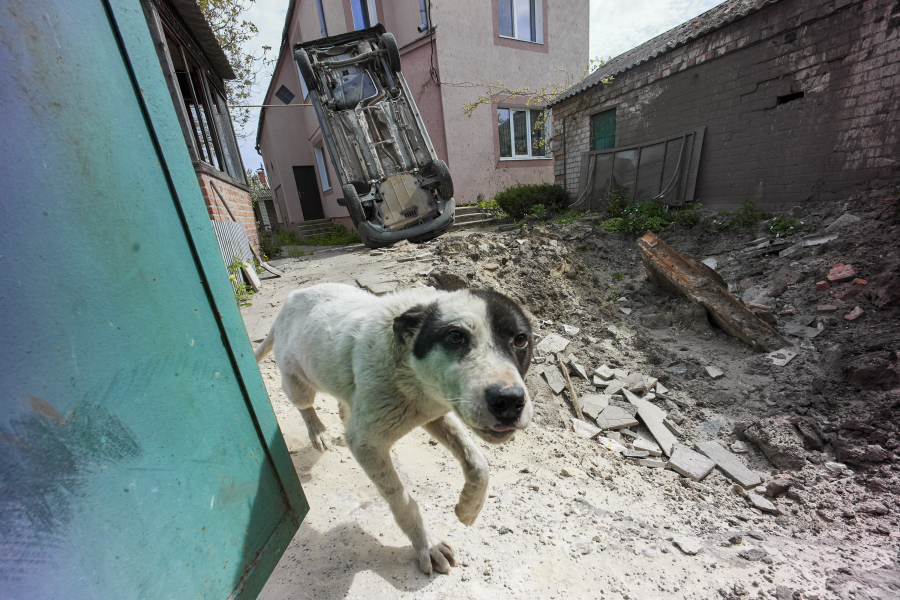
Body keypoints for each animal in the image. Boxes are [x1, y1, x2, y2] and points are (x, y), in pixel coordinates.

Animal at [253, 284, 536, 576]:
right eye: (455, 337)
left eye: (521, 340)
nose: (509, 402)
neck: (408, 370)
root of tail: (294, 296)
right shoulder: (367, 444)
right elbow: (402, 501)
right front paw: (427, 545)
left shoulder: (436, 413)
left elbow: (479, 463)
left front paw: (469, 509)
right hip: (296, 381)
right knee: (305, 405)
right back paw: (317, 431)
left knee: (344, 402)